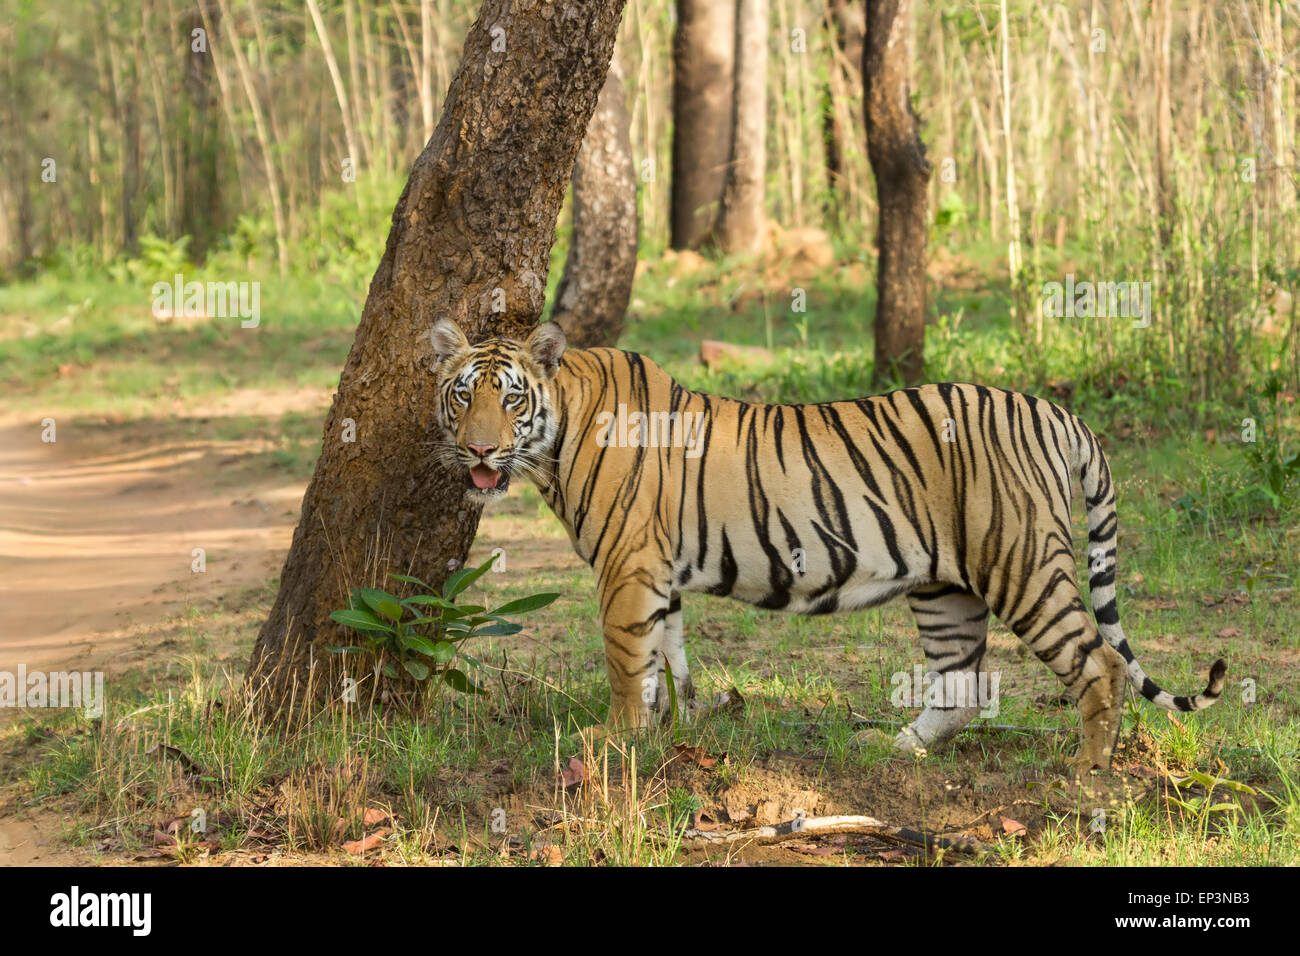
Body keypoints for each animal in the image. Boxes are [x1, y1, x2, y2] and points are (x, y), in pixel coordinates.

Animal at [431, 317, 1222, 775]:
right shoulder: (659, 575)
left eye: (510, 398)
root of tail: (1058, 412)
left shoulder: (628, 568)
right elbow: (668, 661)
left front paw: (616, 740)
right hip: (946, 586)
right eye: (462, 394)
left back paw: (1087, 779)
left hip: (1021, 564)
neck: (559, 428)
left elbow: (629, 662)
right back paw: (897, 749)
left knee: (1099, 666)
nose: (479, 449)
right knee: (963, 684)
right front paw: (672, 734)